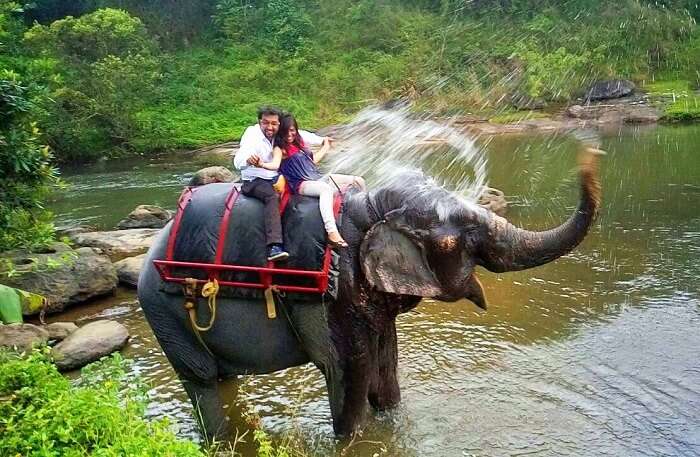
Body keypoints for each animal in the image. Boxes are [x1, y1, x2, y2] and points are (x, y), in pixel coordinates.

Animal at [135, 148, 600, 440]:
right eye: (456, 240)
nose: (590, 158)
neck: (368, 207)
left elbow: (386, 365)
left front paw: (393, 423)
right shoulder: (335, 297)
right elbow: (351, 376)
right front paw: (351, 440)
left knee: (220, 380)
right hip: (163, 312)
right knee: (202, 381)